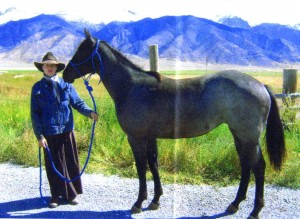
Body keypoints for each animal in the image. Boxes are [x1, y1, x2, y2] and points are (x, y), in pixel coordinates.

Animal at [63, 29, 286, 219]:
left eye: (82, 50)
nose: (65, 74)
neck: (132, 87)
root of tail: (260, 85)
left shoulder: (136, 137)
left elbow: (141, 167)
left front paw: (138, 202)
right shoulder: (150, 137)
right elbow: (153, 164)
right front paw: (155, 201)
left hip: (248, 138)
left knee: (258, 167)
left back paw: (255, 210)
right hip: (239, 135)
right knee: (246, 165)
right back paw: (235, 204)